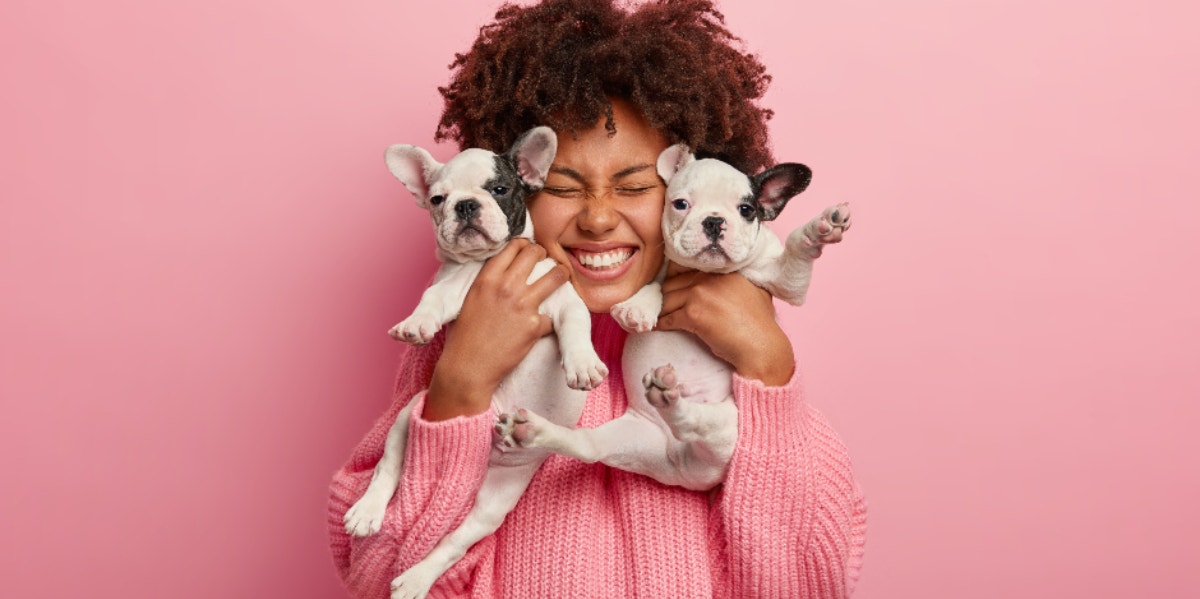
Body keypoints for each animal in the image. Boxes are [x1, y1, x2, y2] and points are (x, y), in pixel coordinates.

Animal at [345, 127, 609, 599]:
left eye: (499, 189)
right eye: (437, 198)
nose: (466, 204)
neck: (483, 264)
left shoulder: (563, 299)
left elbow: (577, 328)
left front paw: (583, 366)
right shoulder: (450, 288)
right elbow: (433, 298)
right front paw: (415, 323)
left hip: (494, 503)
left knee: (453, 541)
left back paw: (416, 577)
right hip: (412, 414)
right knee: (388, 467)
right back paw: (368, 514)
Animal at [501, 144, 849, 492]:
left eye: (747, 209)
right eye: (680, 204)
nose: (713, 221)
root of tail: (685, 470)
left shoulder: (785, 280)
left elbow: (794, 255)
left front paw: (820, 229)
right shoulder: (660, 265)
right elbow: (655, 286)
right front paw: (637, 308)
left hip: (732, 425)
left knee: (699, 423)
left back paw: (669, 397)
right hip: (630, 439)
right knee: (590, 446)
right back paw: (536, 431)